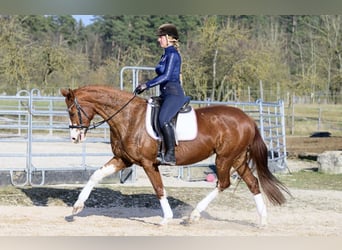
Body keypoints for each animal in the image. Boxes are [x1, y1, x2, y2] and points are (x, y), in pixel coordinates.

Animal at [60, 85, 288, 226]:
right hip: (238, 159)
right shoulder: (123, 159)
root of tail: (248, 119)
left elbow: (159, 188)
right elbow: (96, 175)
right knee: (253, 183)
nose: (74, 137)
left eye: (71, 111)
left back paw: (193, 216)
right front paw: (77, 207)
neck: (128, 117)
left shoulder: (148, 163)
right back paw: (262, 221)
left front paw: (166, 218)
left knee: (223, 183)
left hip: (224, 158)